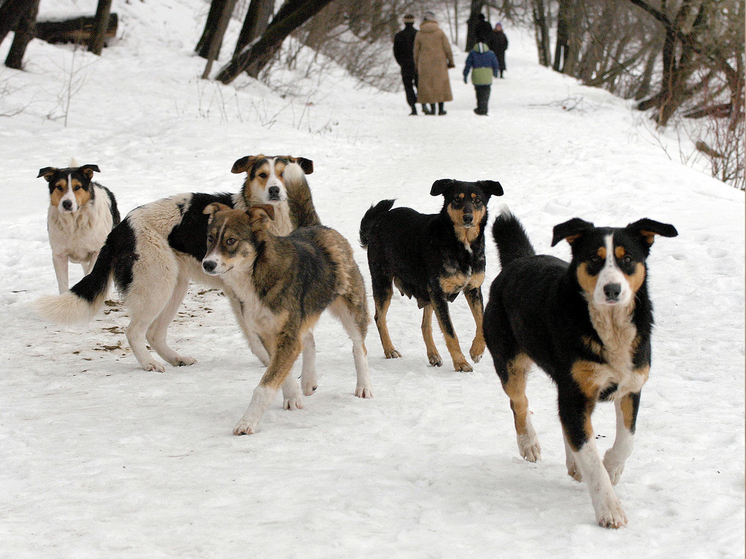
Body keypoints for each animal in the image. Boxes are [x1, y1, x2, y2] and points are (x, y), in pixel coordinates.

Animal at [36, 162, 119, 294]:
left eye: (77, 187)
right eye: (59, 187)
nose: (67, 203)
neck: (73, 223)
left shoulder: (97, 251)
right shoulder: (59, 255)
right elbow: (63, 284)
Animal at [201, 203, 372, 436]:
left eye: (230, 240)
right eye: (210, 238)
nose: (207, 264)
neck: (255, 276)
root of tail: (319, 227)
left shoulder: (287, 336)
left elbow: (264, 387)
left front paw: (247, 422)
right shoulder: (268, 334)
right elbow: (283, 372)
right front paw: (292, 396)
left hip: (351, 309)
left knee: (358, 347)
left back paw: (364, 386)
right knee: (309, 339)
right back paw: (308, 380)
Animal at [358, 179, 500, 372]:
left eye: (477, 200)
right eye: (456, 199)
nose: (468, 218)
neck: (461, 245)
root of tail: (378, 222)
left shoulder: (473, 288)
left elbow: (480, 321)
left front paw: (476, 350)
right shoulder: (439, 293)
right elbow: (450, 332)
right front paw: (461, 362)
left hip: (427, 292)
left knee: (425, 325)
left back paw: (433, 355)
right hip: (383, 283)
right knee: (379, 318)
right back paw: (390, 350)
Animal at [482, 210, 676, 528]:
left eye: (627, 259)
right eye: (595, 259)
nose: (612, 289)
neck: (609, 329)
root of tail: (519, 260)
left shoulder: (630, 385)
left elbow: (626, 441)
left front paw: (612, 467)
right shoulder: (576, 392)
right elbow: (591, 458)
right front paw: (609, 508)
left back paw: (573, 462)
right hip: (509, 360)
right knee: (519, 403)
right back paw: (529, 443)